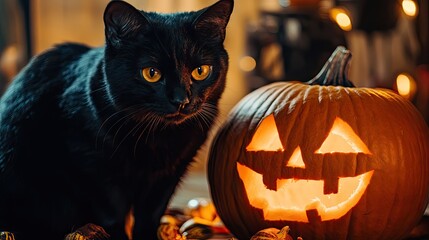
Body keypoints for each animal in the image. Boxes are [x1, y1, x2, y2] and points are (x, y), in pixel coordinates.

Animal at [0, 0, 232, 239]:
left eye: (201, 71)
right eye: (151, 73)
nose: (181, 100)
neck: (158, 136)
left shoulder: (169, 173)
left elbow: (151, 214)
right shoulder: (92, 163)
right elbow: (113, 211)